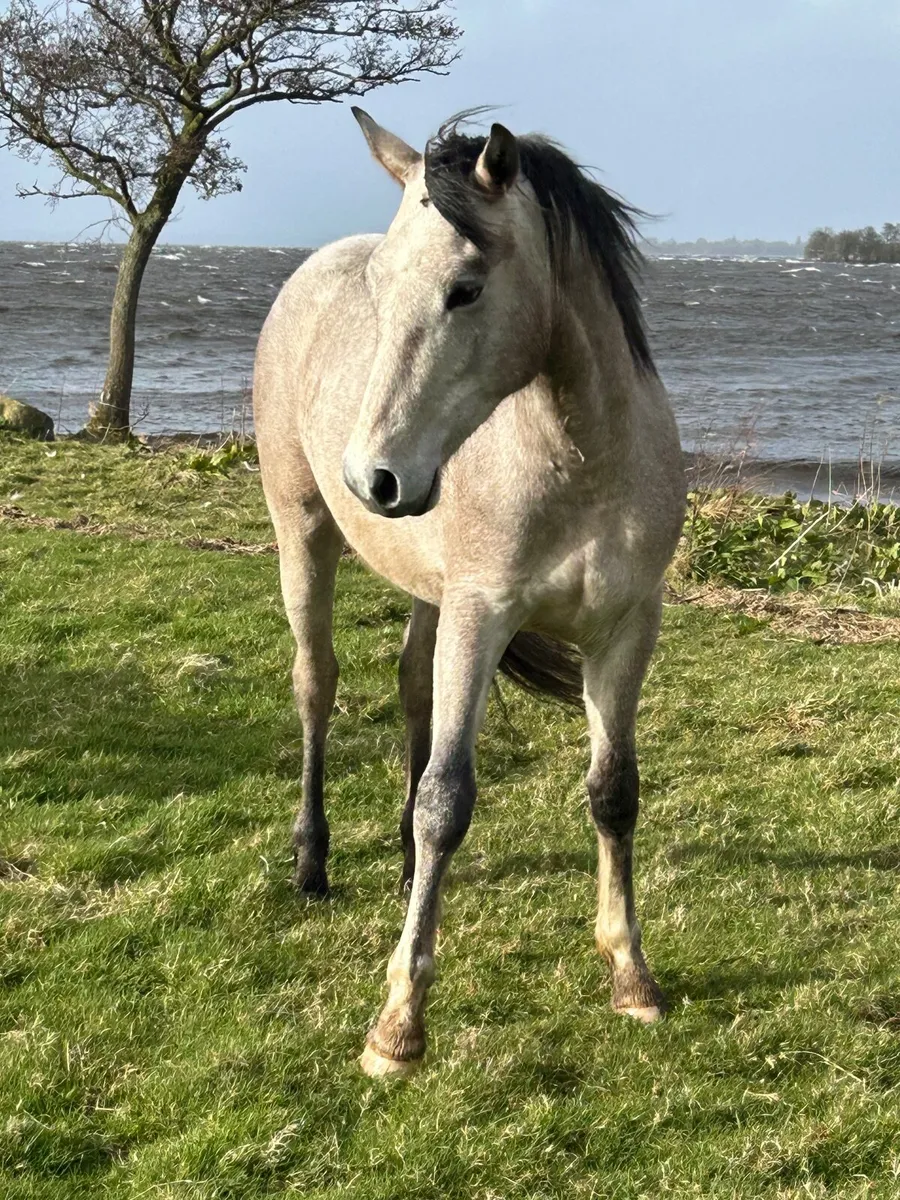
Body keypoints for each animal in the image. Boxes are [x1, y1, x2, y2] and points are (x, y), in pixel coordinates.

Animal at [253, 108, 685, 1078]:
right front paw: (397, 1025)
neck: (578, 460)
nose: (372, 478)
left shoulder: (624, 629)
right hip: (304, 536)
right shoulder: (482, 617)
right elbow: (449, 801)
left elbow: (614, 790)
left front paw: (631, 975)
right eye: (382, 289)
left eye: (465, 289)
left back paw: (405, 870)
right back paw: (311, 863)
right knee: (315, 684)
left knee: (413, 688)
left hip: (431, 592)